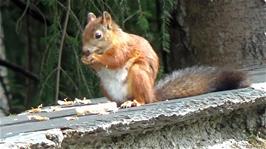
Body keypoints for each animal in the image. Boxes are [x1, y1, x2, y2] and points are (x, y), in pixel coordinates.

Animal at [80, 11, 249, 107]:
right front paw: (85, 59)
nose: (84, 50)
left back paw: (135, 102)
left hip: (138, 74)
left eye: (98, 35)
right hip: (104, 86)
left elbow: (115, 59)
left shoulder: (124, 48)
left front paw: (94, 57)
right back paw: (118, 104)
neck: (110, 43)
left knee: (143, 99)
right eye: (83, 33)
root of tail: (151, 95)